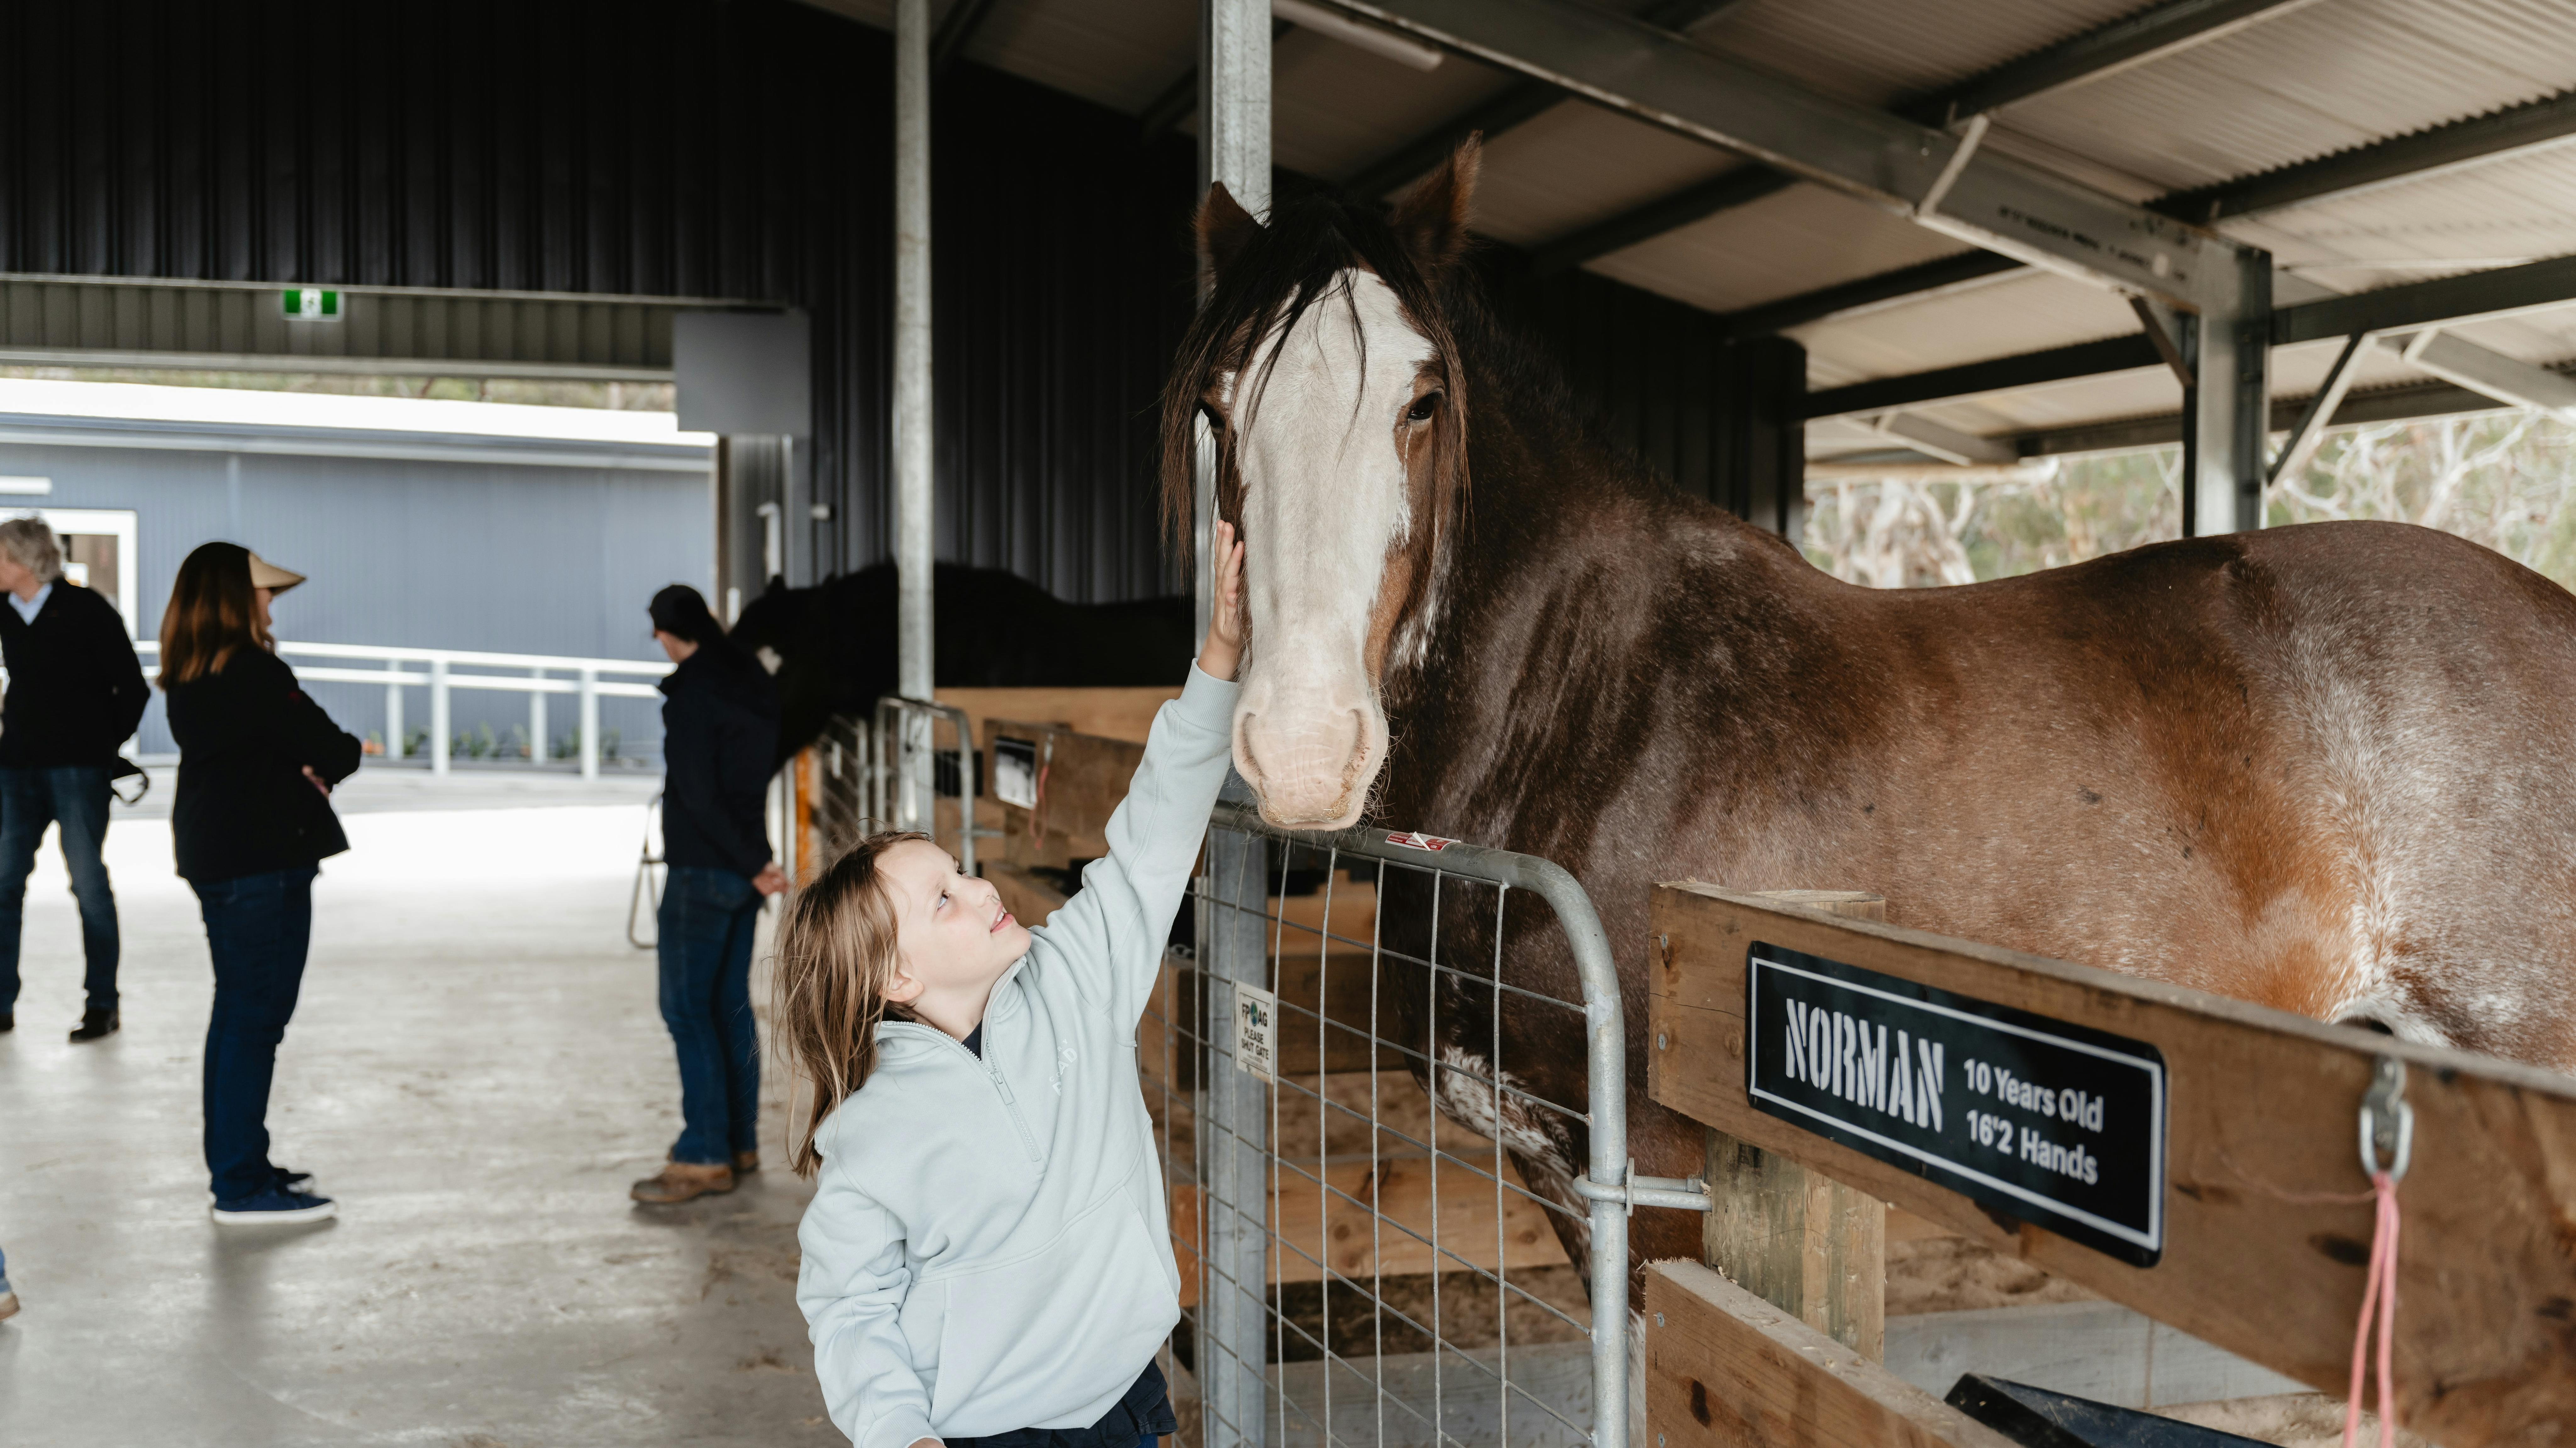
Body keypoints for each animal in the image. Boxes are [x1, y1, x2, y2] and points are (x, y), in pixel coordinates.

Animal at [1163, 139, 2576, 1281]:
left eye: (1422, 401)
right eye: (1218, 408)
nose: (1304, 747)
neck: (1591, 711)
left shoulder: (1671, 1187)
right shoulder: (1570, 1181)